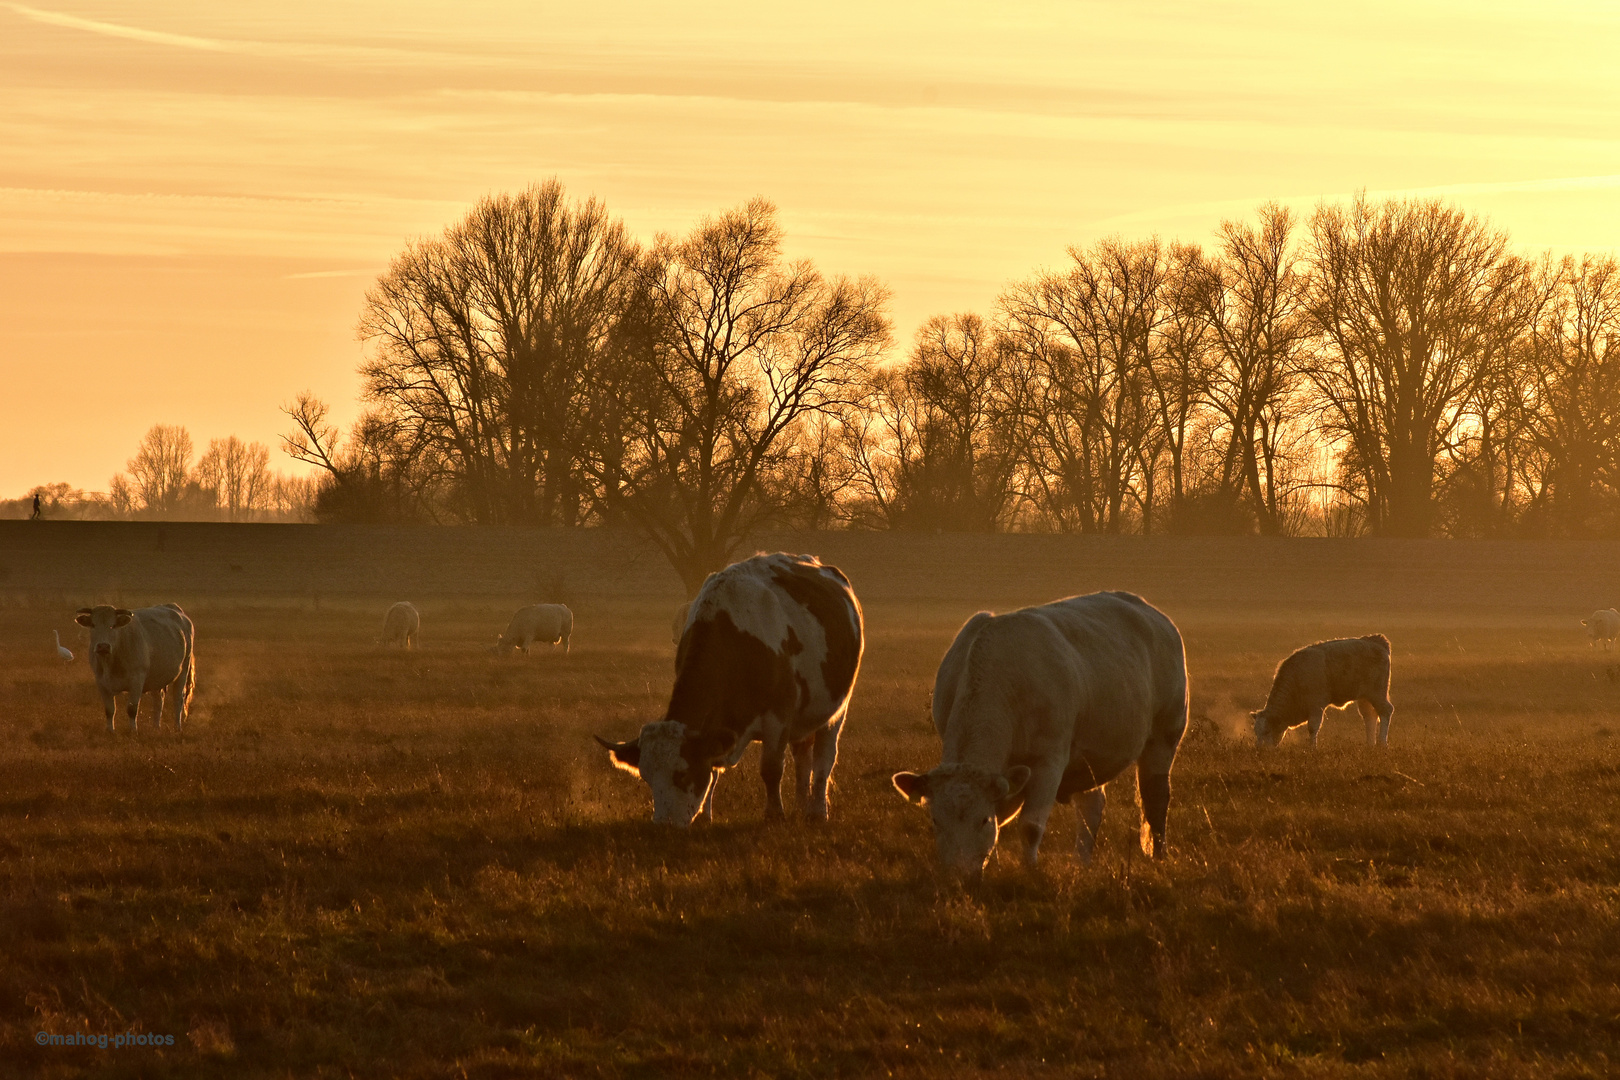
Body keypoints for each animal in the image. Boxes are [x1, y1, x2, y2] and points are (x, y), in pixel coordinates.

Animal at [76, 599, 196, 735]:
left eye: (113, 625)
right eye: (93, 625)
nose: (103, 646)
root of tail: (174, 608)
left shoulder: (137, 680)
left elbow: (132, 709)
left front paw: (133, 730)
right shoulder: (101, 681)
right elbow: (109, 709)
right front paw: (110, 730)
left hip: (183, 670)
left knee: (178, 699)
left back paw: (177, 727)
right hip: (157, 677)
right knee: (158, 700)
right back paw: (156, 727)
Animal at [596, 557, 868, 829]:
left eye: (682, 774)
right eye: (647, 777)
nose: (664, 824)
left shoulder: (777, 718)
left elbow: (771, 770)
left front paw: (774, 815)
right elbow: (713, 771)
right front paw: (705, 817)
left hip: (835, 711)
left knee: (824, 761)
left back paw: (817, 812)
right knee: (802, 759)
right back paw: (800, 808)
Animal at [887, 592, 1192, 880]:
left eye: (983, 820)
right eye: (935, 821)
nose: (959, 874)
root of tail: (1152, 613)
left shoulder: (1049, 761)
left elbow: (1030, 826)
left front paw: (1029, 869)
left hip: (1165, 735)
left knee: (1156, 798)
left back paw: (1159, 857)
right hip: (1091, 757)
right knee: (1092, 807)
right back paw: (1080, 862)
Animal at [1250, 634, 1393, 751]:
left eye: (1267, 731)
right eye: (1256, 732)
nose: (1259, 750)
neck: (1297, 678)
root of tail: (1376, 641)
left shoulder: (1316, 706)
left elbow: (1313, 727)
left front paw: (1312, 748)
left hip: (1377, 693)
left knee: (1386, 710)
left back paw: (1382, 744)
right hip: (1364, 697)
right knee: (1369, 716)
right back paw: (1370, 744)